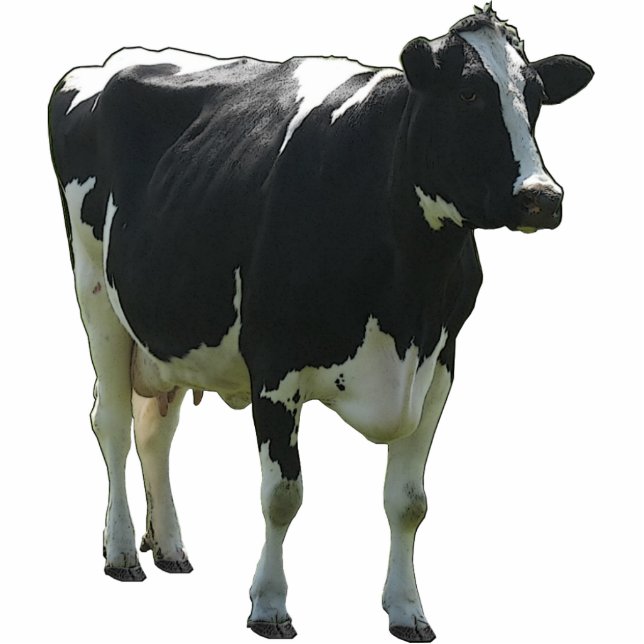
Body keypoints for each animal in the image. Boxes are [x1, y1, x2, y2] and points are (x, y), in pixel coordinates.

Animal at [48, 4, 593, 641]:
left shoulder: (439, 365)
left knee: (155, 429)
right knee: (110, 422)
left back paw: (171, 548)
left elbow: (410, 501)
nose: (542, 197)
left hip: (170, 326)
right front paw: (269, 604)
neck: (407, 296)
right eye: (468, 94)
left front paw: (407, 609)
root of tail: (109, 62)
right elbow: (283, 493)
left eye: (535, 97)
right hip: (96, 298)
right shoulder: (274, 366)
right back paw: (121, 552)